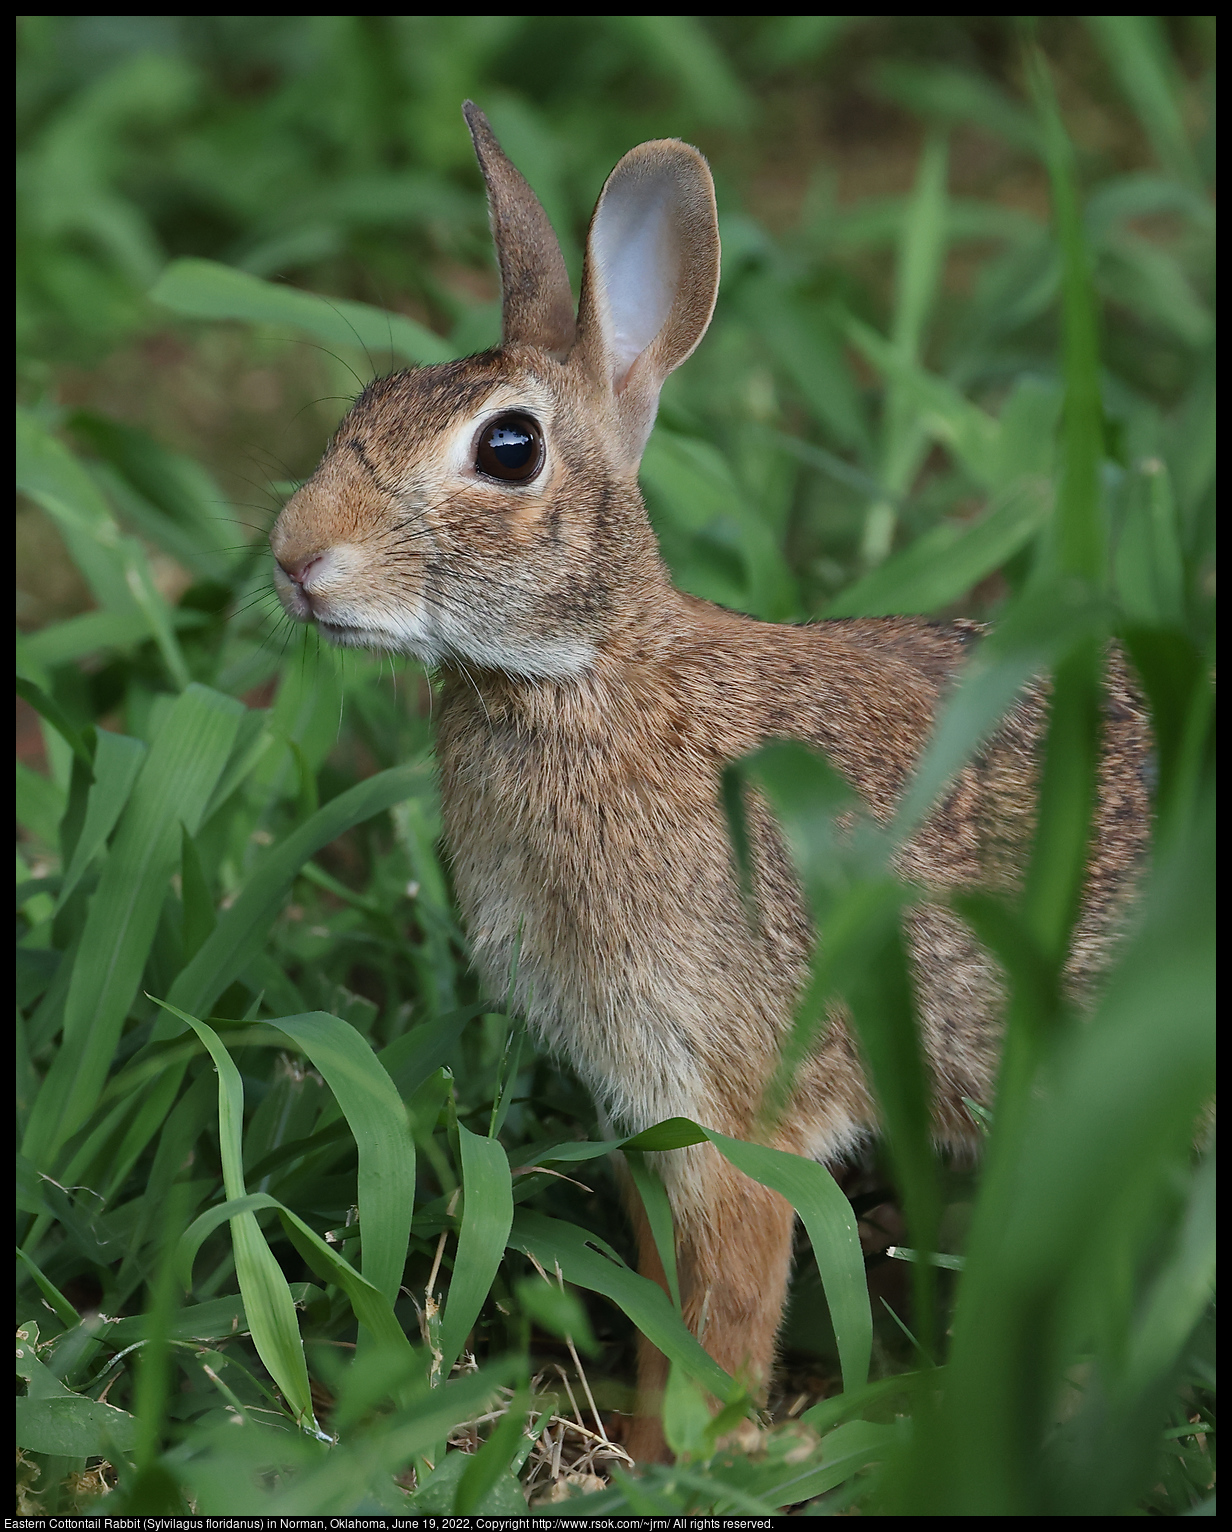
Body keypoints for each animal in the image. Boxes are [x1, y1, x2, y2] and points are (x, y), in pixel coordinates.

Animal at [271, 101, 1152, 1464]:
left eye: (509, 448)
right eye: (366, 399)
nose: (294, 556)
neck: (586, 673)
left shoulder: (732, 1104)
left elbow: (728, 1300)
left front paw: (697, 1453)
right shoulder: (643, 1106)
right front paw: (640, 1442)